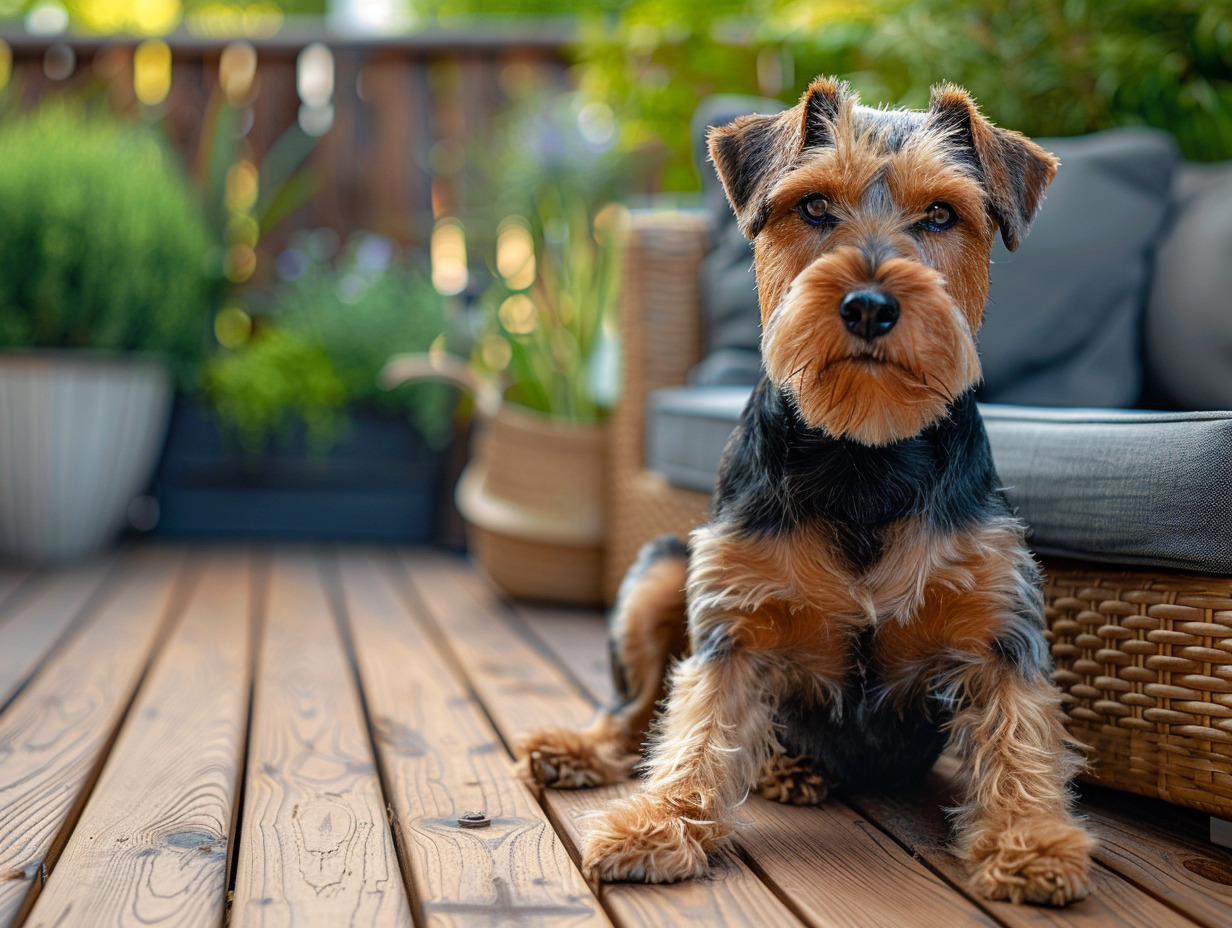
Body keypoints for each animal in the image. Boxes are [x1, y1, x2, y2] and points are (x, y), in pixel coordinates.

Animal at [514, 76, 1094, 902]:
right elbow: (695, 726)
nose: (870, 305)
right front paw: (659, 823)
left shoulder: (999, 625)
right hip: (662, 567)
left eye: (941, 213)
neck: (863, 456)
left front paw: (1032, 840)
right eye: (815, 205)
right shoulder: (732, 622)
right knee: (633, 711)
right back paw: (583, 751)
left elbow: (1023, 735)